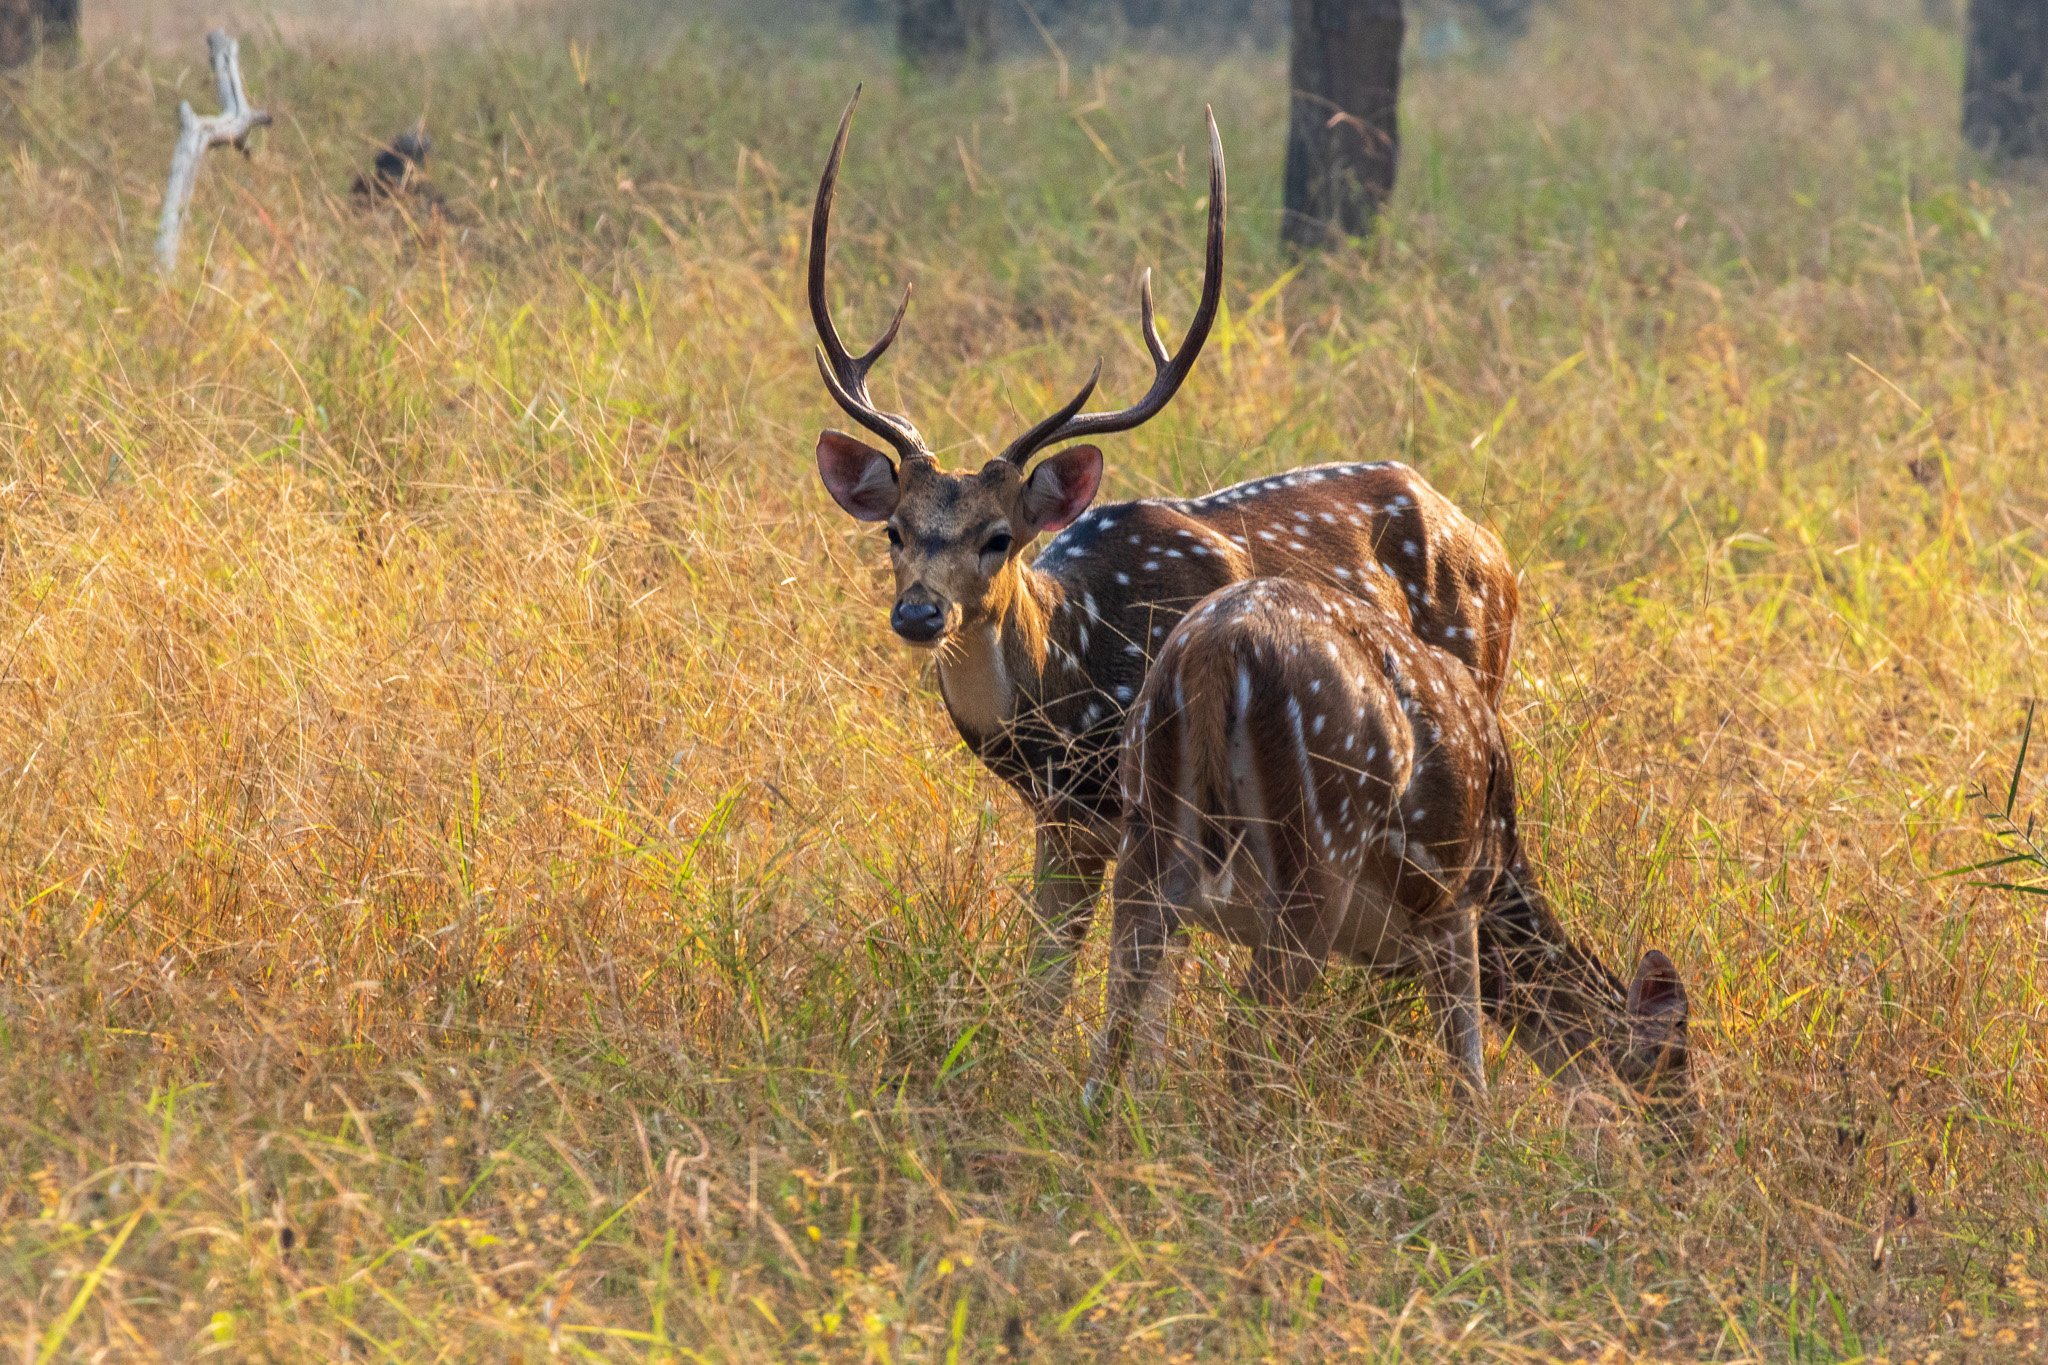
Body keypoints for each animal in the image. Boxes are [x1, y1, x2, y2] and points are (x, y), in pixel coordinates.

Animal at [806, 90, 1531, 1015]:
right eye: (894, 529)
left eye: (1000, 537)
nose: (919, 611)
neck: (1075, 689)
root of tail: (1495, 549)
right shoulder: (1063, 819)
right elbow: (1044, 985)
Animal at [1081, 577, 1687, 1129]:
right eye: (1672, 1066)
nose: (1681, 1150)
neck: (1504, 881)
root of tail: (1219, 645)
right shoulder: (1453, 902)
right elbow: (1469, 1075)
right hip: (1322, 847)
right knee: (1247, 1027)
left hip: (1145, 827)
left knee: (1117, 1016)